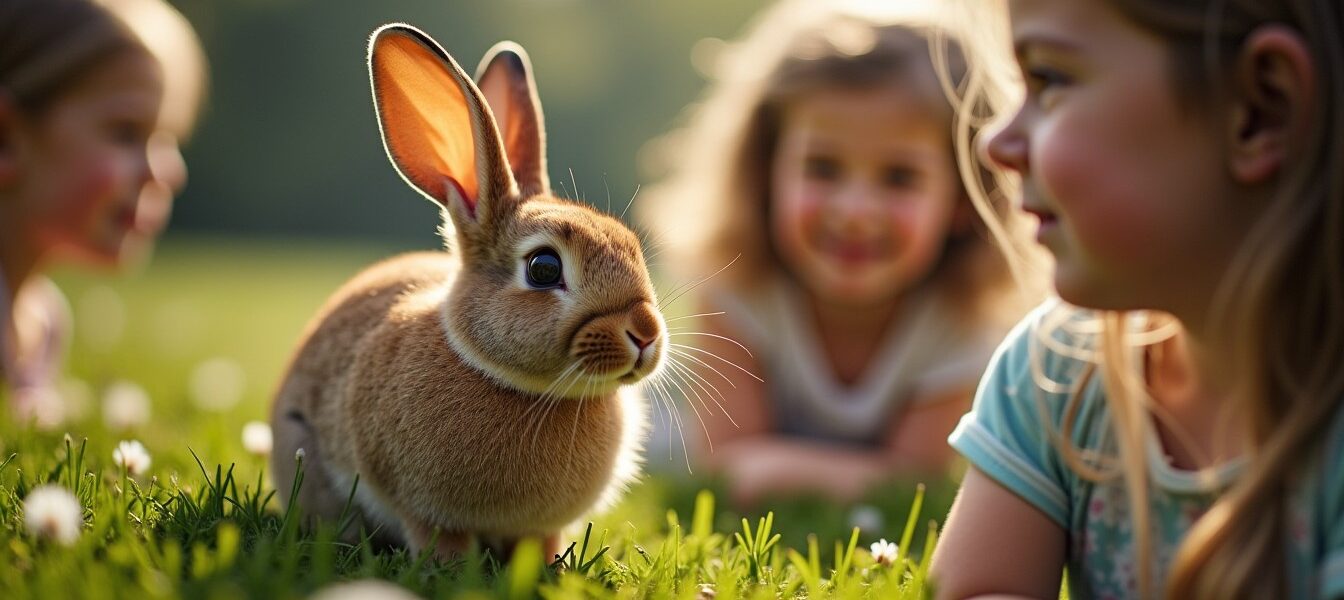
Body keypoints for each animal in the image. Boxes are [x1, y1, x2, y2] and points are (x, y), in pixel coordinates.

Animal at [269, 23, 665, 561]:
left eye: (630, 245)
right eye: (543, 269)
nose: (645, 333)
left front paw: (549, 564)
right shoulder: (416, 506)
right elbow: (435, 536)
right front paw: (452, 566)